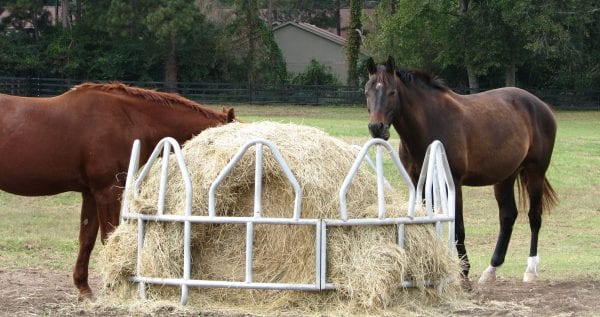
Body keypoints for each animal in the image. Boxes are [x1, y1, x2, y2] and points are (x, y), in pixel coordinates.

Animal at [0, 83, 238, 296]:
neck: (126, 119)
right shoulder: (107, 191)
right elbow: (109, 236)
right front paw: (111, 285)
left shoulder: (91, 193)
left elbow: (87, 239)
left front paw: (84, 288)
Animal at [366, 55, 556, 288]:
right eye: (367, 91)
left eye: (392, 92)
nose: (376, 127)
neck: (430, 121)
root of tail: (541, 105)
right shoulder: (419, 182)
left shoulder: (454, 183)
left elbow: (458, 228)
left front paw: (464, 272)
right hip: (505, 177)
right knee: (508, 216)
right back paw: (491, 270)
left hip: (535, 173)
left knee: (534, 216)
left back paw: (530, 269)